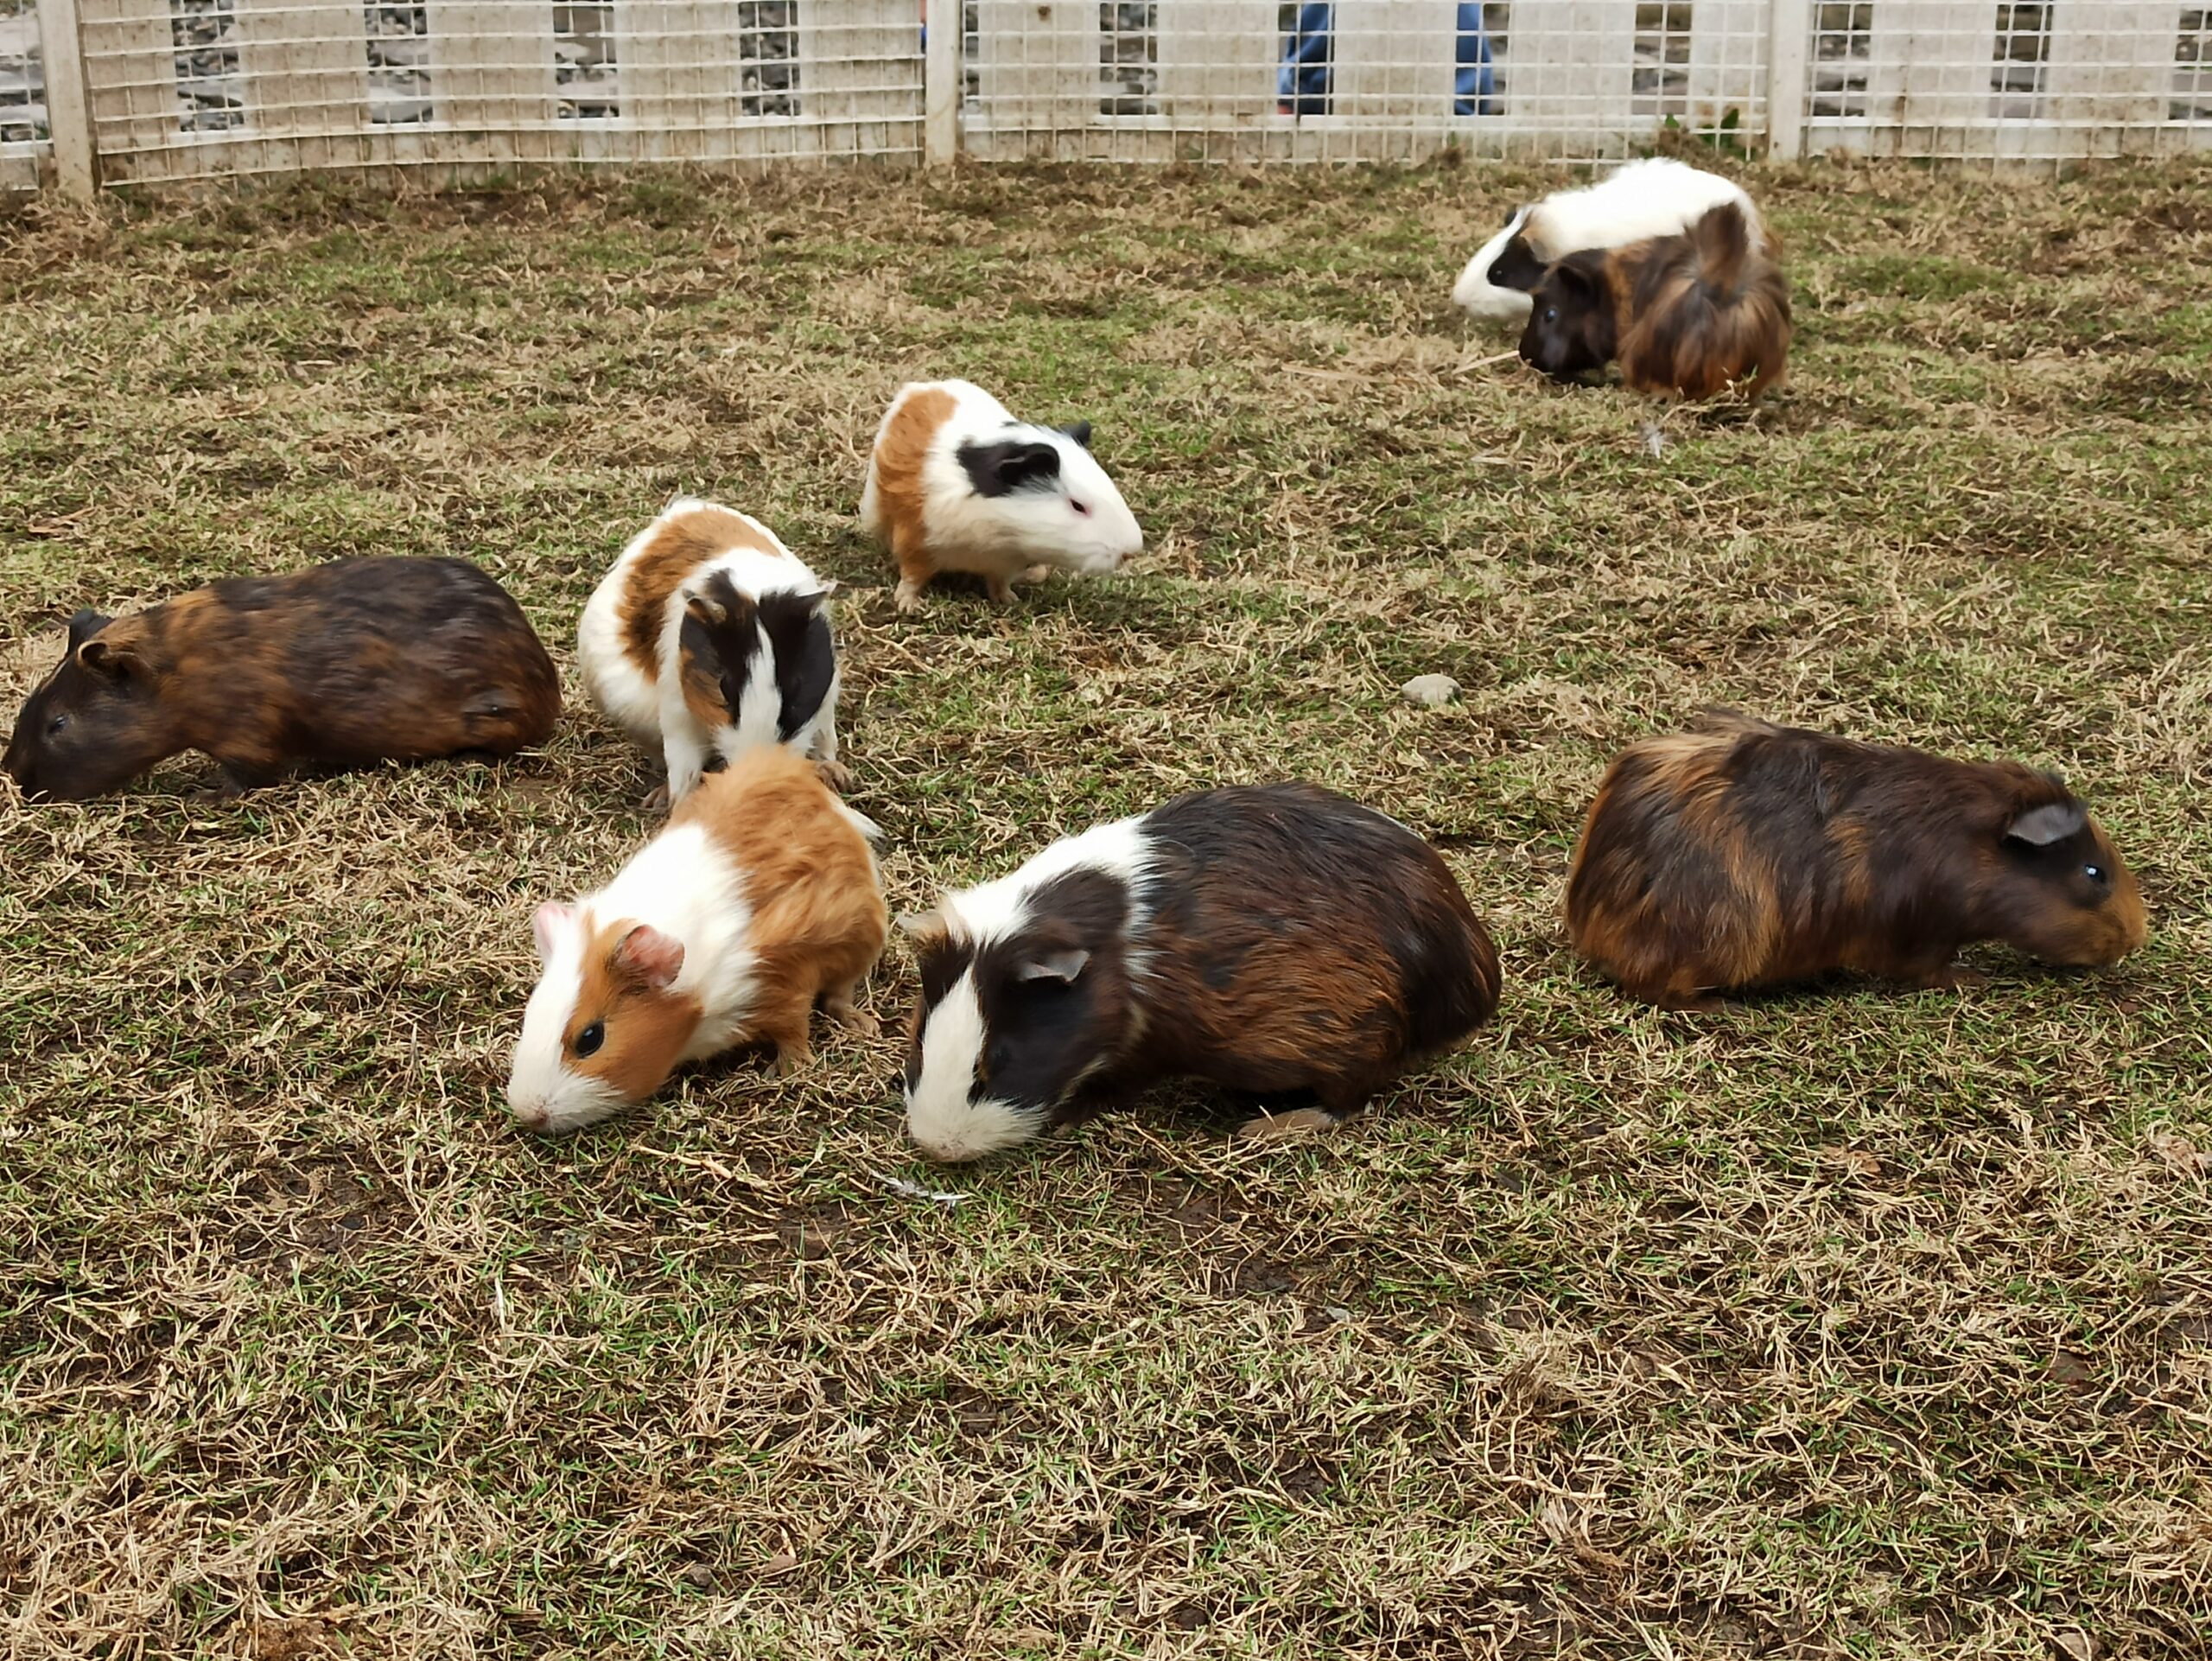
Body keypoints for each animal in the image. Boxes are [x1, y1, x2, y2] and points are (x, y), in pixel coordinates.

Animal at [507, 744, 888, 1134]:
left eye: (590, 1038)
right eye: (529, 1015)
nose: (529, 1113)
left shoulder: (787, 979)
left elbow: (793, 1029)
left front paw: (788, 1069)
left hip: (862, 940)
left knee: (841, 994)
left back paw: (865, 1026)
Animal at [577, 497, 845, 809]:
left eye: (795, 689)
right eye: (723, 687)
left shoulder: (826, 699)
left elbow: (823, 740)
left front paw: (834, 777)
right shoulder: (678, 718)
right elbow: (684, 772)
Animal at [859, 378, 1143, 613]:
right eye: (1078, 506)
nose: (1131, 551)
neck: (1000, 537)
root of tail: (921, 387)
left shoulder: (1004, 565)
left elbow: (999, 584)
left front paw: (1010, 601)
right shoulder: (915, 542)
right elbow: (912, 578)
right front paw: (908, 605)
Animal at [897, 782, 1501, 1162]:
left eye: (996, 1061)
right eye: (921, 1041)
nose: (936, 1148)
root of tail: (1475, 982)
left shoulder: (1146, 1052)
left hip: (1361, 1040)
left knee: (1347, 1103)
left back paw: (1262, 1129)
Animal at [1565, 710, 2148, 1009]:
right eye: (2093, 873)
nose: (2135, 937)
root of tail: (1588, 924)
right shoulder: (1922, 935)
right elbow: (1931, 968)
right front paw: (1974, 979)